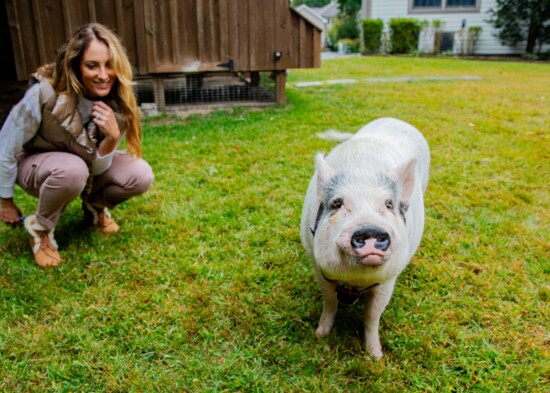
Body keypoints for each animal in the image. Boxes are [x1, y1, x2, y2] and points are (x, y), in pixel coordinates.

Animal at [302, 116, 432, 358]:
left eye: (389, 204)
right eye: (337, 203)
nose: (370, 229)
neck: (355, 281)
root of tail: (396, 119)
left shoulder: (388, 280)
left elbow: (372, 316)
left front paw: (376, 356)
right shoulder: (317, 267)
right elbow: (330, 301)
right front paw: (320, 334)